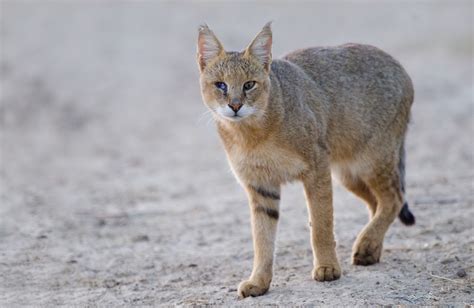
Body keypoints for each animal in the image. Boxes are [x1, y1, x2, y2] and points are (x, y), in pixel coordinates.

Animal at [196, 22, 414, 298]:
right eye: (221, 85)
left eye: (249, 85)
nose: (235, 106)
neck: (253, 135)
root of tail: (397, 64)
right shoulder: (261, 186)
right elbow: (262, 239)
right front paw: (259, 281)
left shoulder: (316, 168)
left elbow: (321, 223)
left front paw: (327, 268)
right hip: (349, 174)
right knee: (377, 203)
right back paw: (370, 248)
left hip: (371, 162)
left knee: (394, 198)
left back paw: (366, 245)